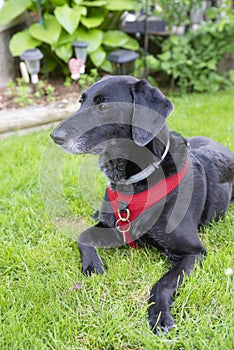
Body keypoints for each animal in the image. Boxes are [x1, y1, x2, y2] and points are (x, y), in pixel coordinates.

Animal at [50, 76, 233, 334]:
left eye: (104, 106)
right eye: (80, 101)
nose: (54, 136)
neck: (132, 183)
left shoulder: (194, 253)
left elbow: (163, 283)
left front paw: (159, 314)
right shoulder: (115, 227)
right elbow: (82, 235)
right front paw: (92, 266)